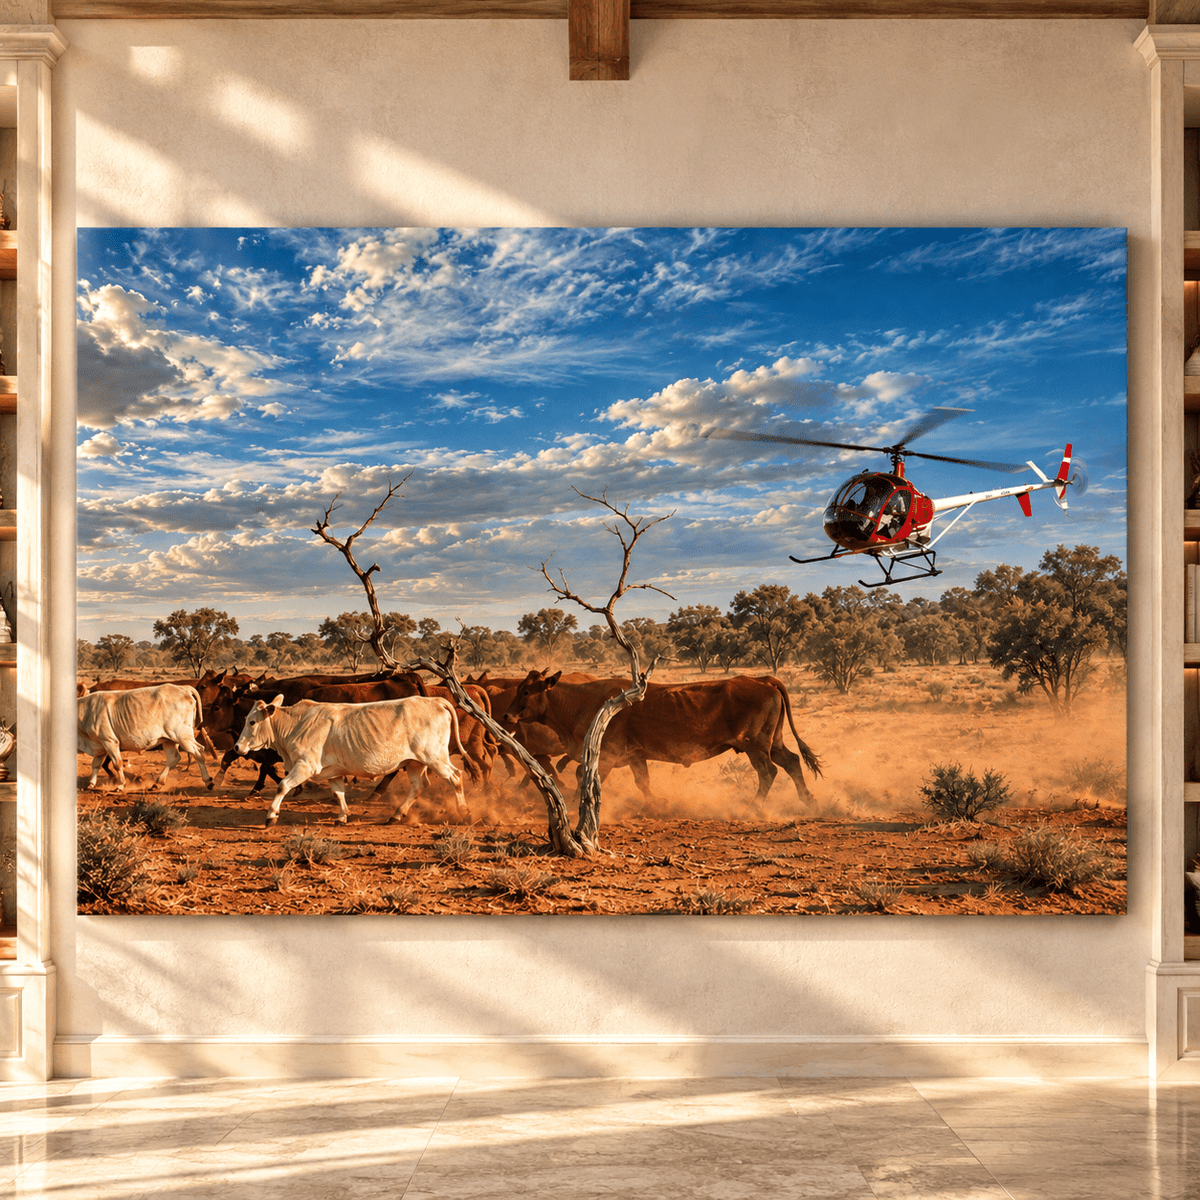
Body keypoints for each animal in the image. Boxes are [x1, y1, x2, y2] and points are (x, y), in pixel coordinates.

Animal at [77, 683, 214, 792]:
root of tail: (184, 688)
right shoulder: (100, 745)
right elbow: (96, 764)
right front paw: (91, 784)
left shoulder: (110, 741)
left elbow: (117, 764)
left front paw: (120, 785)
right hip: (169, 739)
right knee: (174, 758)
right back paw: (158, 783)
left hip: (182, 735)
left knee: (198, 751)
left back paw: (208, 781)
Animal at [235, 694, 468, 826]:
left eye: (252, 722)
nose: (237, 747)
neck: (295, 724)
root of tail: (435, 700)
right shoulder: (332, 771)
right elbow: (339, 793)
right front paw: (342, 816)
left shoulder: (305, 765)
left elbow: (282, 786)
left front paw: (271, 816)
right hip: (415, 763)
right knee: (419, 785)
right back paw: (396, 815)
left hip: (434, 757)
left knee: (456, 777)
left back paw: (464, 812)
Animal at [504, 670, 822, 811]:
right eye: (518, 689)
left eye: (527, 692)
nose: (506, 715)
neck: (583, 700)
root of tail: (761, 679)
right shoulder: (635, 756)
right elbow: (642, 781)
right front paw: (657, 801)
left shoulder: (606, 755)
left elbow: (586, 775)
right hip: (774, 742)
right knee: (792, 762)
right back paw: (809, 800)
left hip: (754, 746)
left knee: (768, 772)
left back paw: (753, 807)